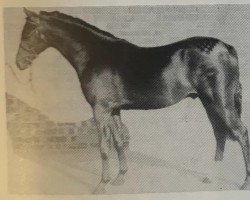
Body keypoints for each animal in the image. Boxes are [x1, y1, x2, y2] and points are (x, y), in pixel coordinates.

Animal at [15, 8, 250, 193]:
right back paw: (210, 177)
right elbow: (118, 141)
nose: (19, 63)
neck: (94, 54)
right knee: (220, 134)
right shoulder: (114, 110)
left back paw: (244, 183)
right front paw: (120, 178)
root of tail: (226, 47)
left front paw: (101, 185)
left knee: (240, 133)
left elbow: (103, 146)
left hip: (220, 101)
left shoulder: (100, 110)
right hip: (209, 102)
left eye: (29, 32)